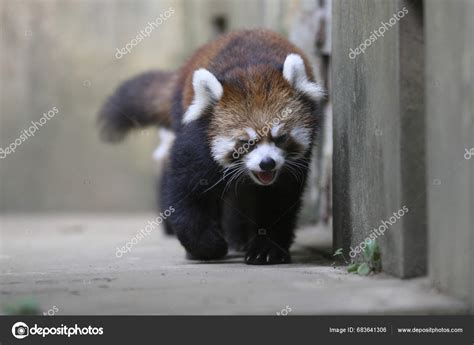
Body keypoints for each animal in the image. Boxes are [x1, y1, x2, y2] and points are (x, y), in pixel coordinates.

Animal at [98, 29, 324, 264]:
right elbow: (187, 193)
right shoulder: (197, 141)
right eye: (246, 143)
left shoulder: (290, 169)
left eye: (280, 138)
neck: (251, 69)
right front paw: (207, 247)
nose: (267, 163)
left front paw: (267, 249)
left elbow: (278, 201)